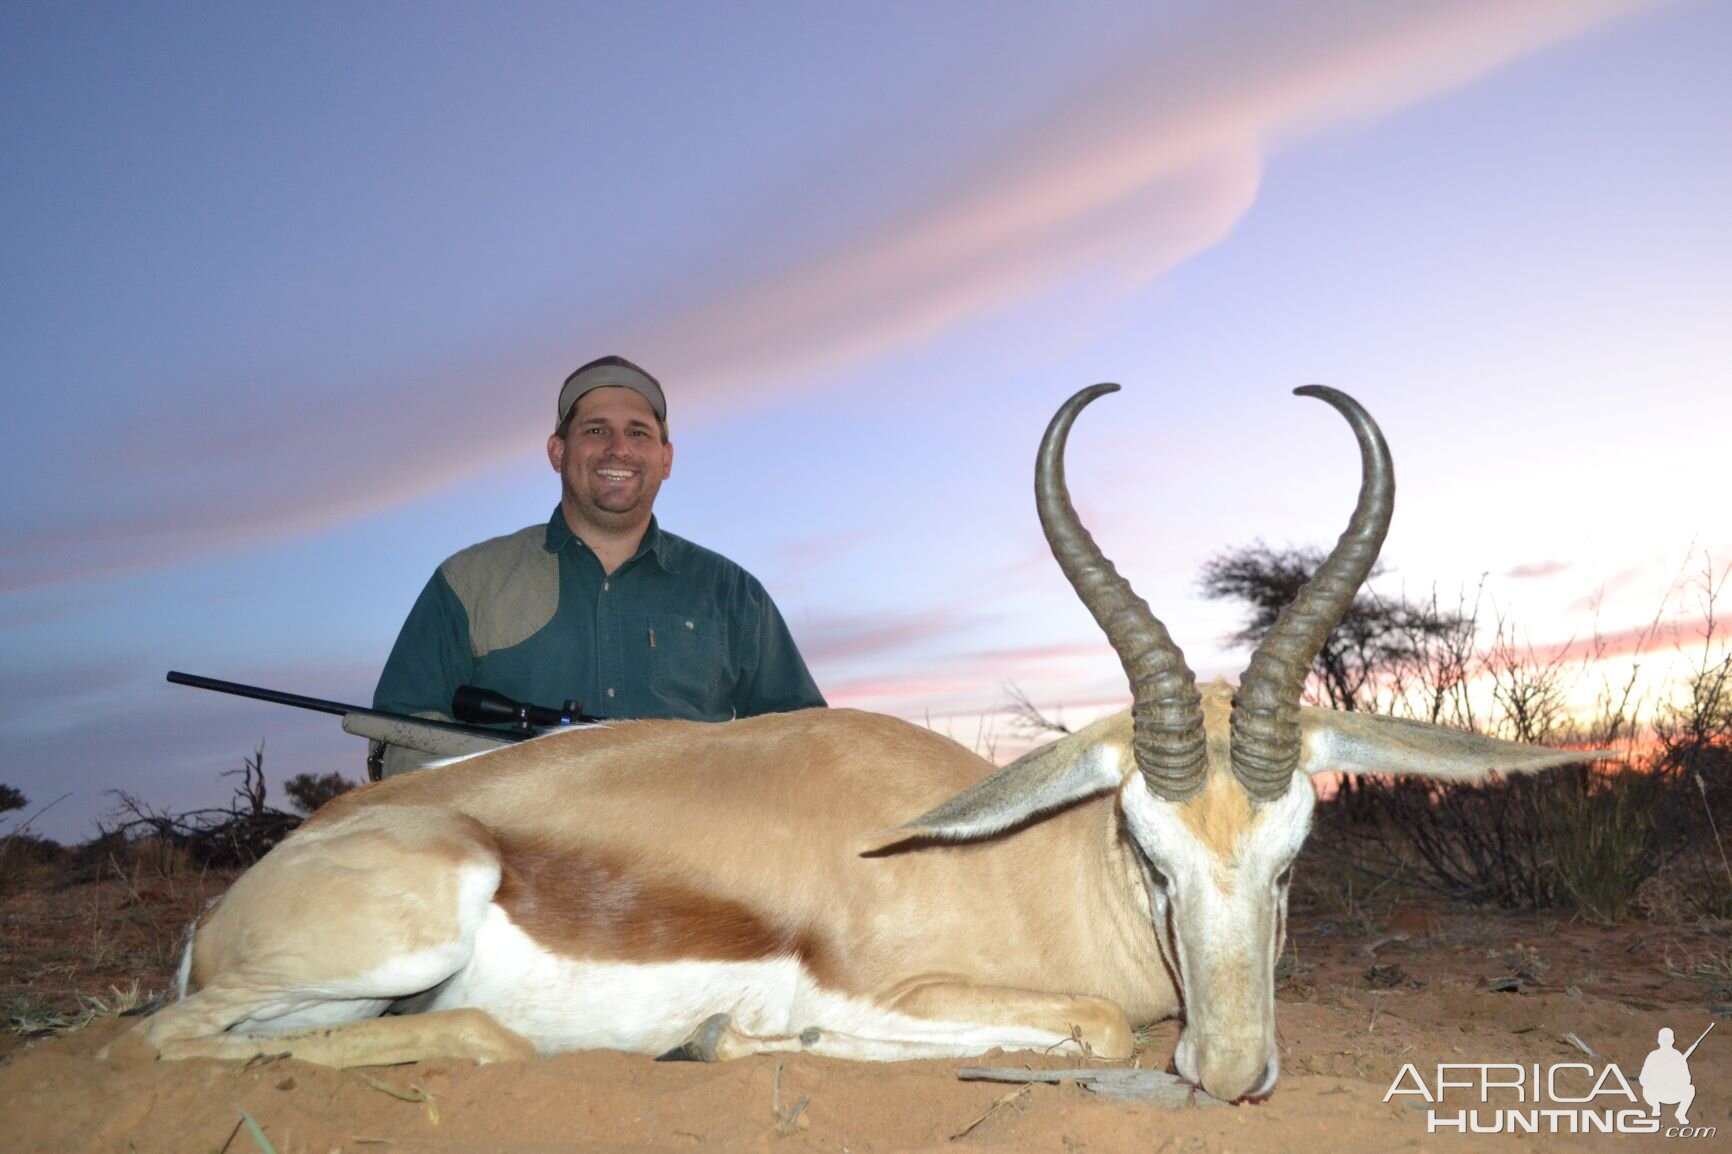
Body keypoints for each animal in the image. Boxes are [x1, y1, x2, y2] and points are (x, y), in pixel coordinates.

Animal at [122, 384, 1600, 1095]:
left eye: (1297, 853)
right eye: (1147, 846)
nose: (1231, 1073)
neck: (1020, 863)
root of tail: (229, 907)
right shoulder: (904, 989)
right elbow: (1086, 1029)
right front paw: (733, 1037)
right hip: (400, 941)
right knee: (178, 1038)